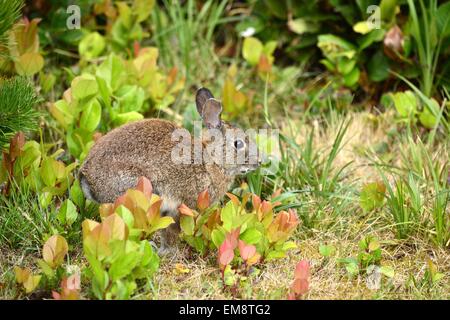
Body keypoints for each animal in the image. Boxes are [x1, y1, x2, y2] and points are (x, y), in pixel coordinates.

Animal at [77, 87, 260, 252]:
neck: (211, 160)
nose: (258, 161)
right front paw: (168, 251)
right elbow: (172, 229)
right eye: (238, 144)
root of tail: (86, 178)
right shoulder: (181, 206)